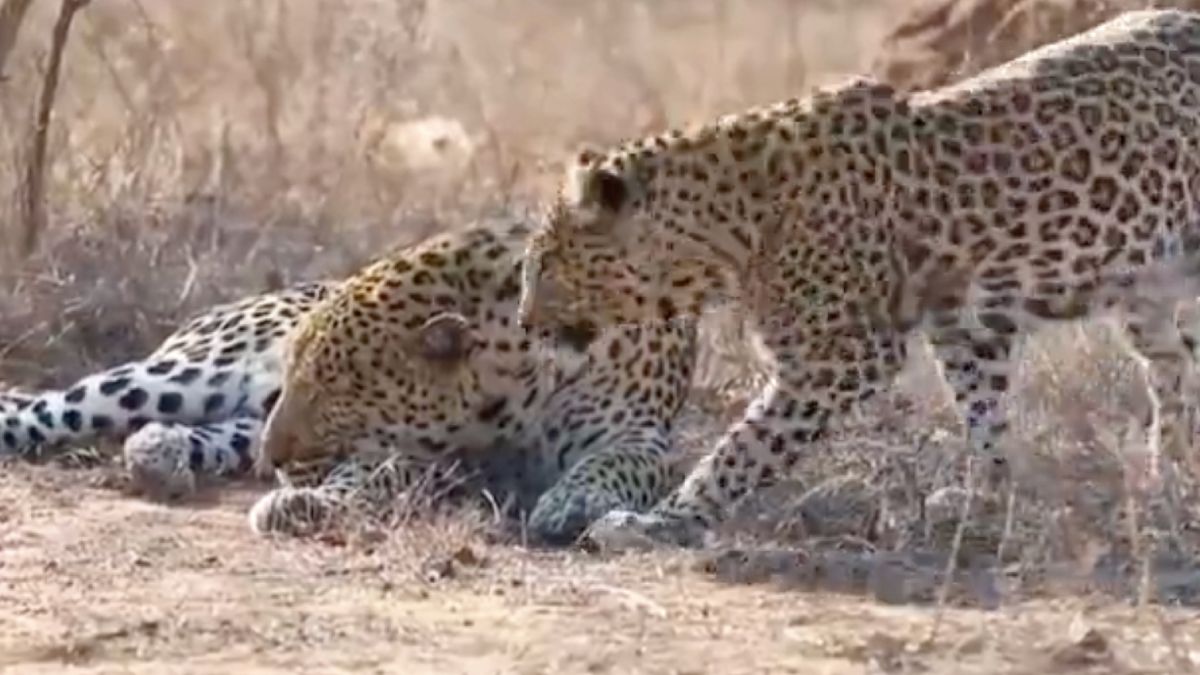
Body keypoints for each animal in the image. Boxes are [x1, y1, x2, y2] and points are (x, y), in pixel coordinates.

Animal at [0, 212, 700, 542]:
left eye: (336, 389)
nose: (278, 461)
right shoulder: (429, 458)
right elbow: (370, 477)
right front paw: (306, 504)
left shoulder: (640, 437)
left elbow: (613, 467)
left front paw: (570, 502)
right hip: (185, 372)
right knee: (53, 405)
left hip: (233, 420)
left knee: (205, 433)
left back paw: (161, 454)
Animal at [520, 9, 1200, 547]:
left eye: (544, 266)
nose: (525, 322)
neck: (727, 229)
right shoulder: (963, 327)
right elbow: (983, 412)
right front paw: (988, 495)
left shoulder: (841, 355)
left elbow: (744, 446)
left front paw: (667, 520)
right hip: (1151, 299)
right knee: (1173, 371)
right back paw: (1170, 472)